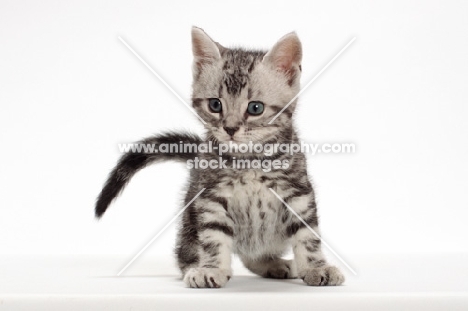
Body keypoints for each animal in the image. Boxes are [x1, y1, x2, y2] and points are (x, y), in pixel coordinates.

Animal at [95, 28, 344, 288]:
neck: (248, 160)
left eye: (255, 108)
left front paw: (316, 267)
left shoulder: (297, 191)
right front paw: (210, 269)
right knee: (187, 251)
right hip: (189, 217)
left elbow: (307, 234)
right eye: (215, 105)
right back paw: (193, 266)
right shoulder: (210, 195)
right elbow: (213, 235)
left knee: (253, 254)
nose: (230, 128)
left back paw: (274, 263)